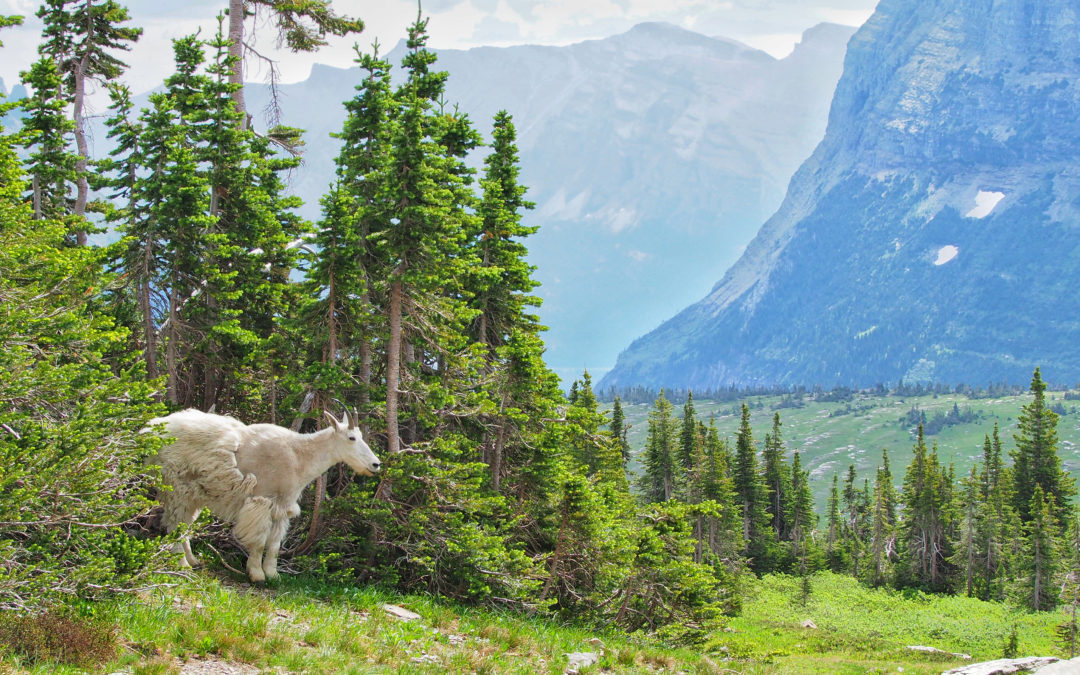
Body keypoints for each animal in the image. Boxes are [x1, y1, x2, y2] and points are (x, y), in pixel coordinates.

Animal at [143, 408, 380, 583]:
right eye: (351, 437)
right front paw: (256, 575)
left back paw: (193, 561)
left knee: (185, 524)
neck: (299, 457)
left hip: (194, 494)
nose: (375, 464)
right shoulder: (261, 501)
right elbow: (259, 541)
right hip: (176, 486)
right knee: (175, 524)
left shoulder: (282, 507)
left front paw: (273, 575)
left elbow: (274, 544)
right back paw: (182, 563)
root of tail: (150, 429)